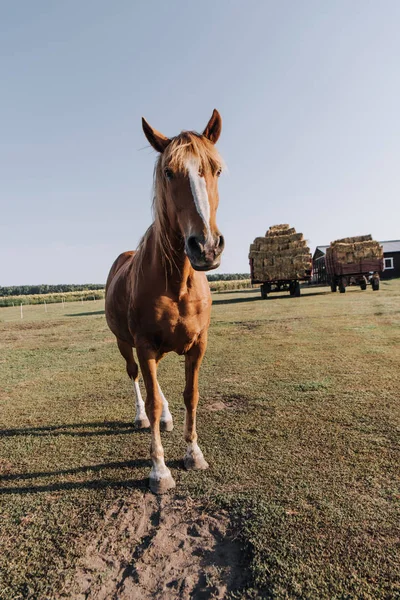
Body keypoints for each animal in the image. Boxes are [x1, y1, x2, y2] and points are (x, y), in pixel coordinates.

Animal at [104, 109, 225, 492]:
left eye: (216, 169)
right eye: (169, 172)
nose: (206, 246)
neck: (177, 284)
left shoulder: (198, 344)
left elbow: (191, 394)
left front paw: (193, 453)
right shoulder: (143, 346)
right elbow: (153, 399)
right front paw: (159, 470)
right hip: (124, 344)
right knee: (138, 381)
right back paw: (141, 417)